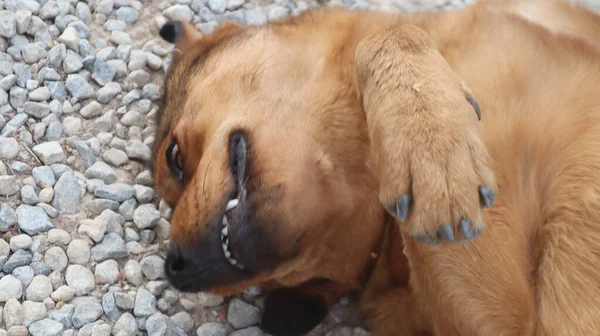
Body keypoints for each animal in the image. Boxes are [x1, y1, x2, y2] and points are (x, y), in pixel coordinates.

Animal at [151, 1, 600, 334]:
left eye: (174, 157)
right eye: (273, 283)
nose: (176, 268)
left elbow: (386, 32)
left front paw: (432, 139)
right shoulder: (507, 319)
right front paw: (435, 160)